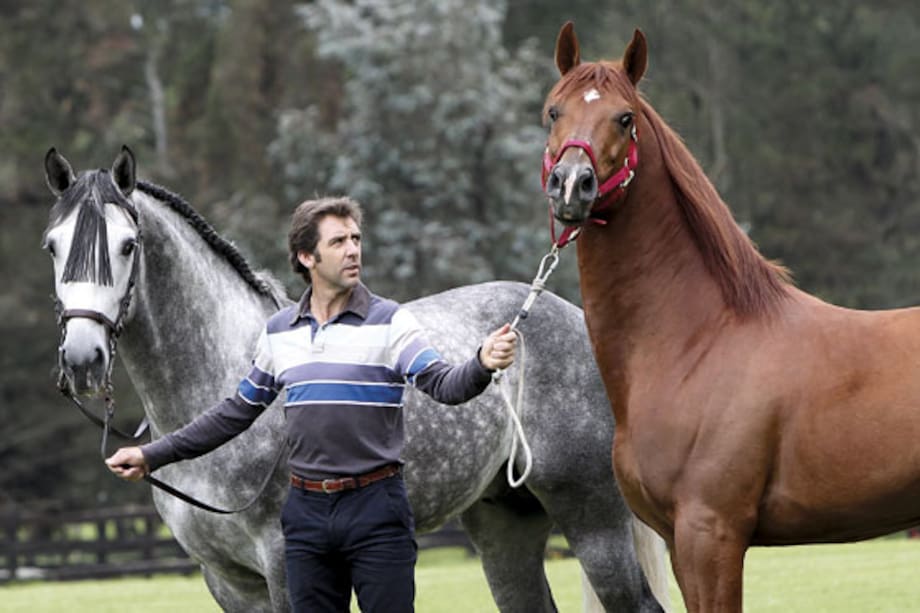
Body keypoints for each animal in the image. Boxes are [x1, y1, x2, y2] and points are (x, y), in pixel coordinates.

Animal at [540, 20, 920, 612]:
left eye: (624, 118)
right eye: (553, 111)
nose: (571, 184)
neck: (699, 339)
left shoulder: (711, 533)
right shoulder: (679, 541)